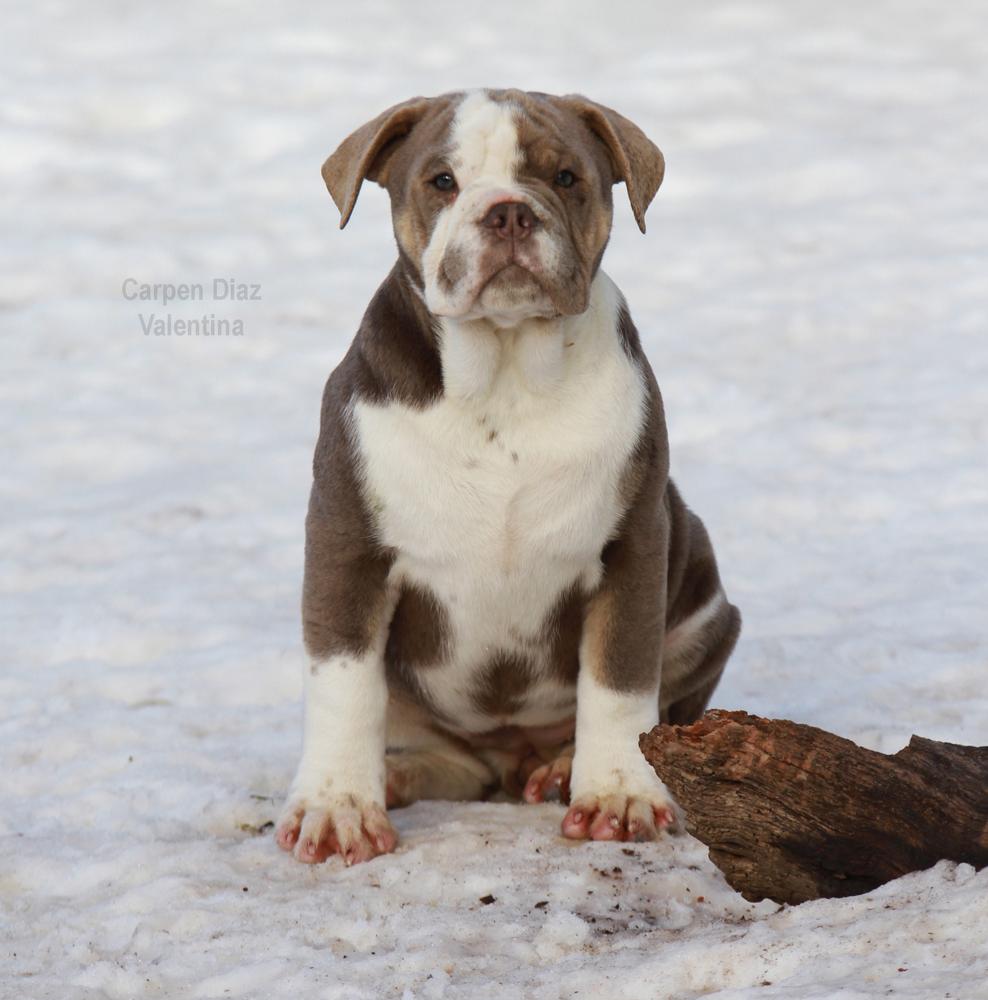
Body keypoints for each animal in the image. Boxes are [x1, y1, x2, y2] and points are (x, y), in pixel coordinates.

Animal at [274, 90, 736, 864]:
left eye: (566, 177)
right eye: (442, 181)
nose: (509, 211)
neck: (505, 372)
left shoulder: (634, 546)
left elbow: (619, 678)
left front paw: (616, 792)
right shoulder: (348, 547)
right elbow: (344, 684)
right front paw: (339, 807)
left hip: (704, 597)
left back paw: (559, 769)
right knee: (444, 756)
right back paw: (399, 775)